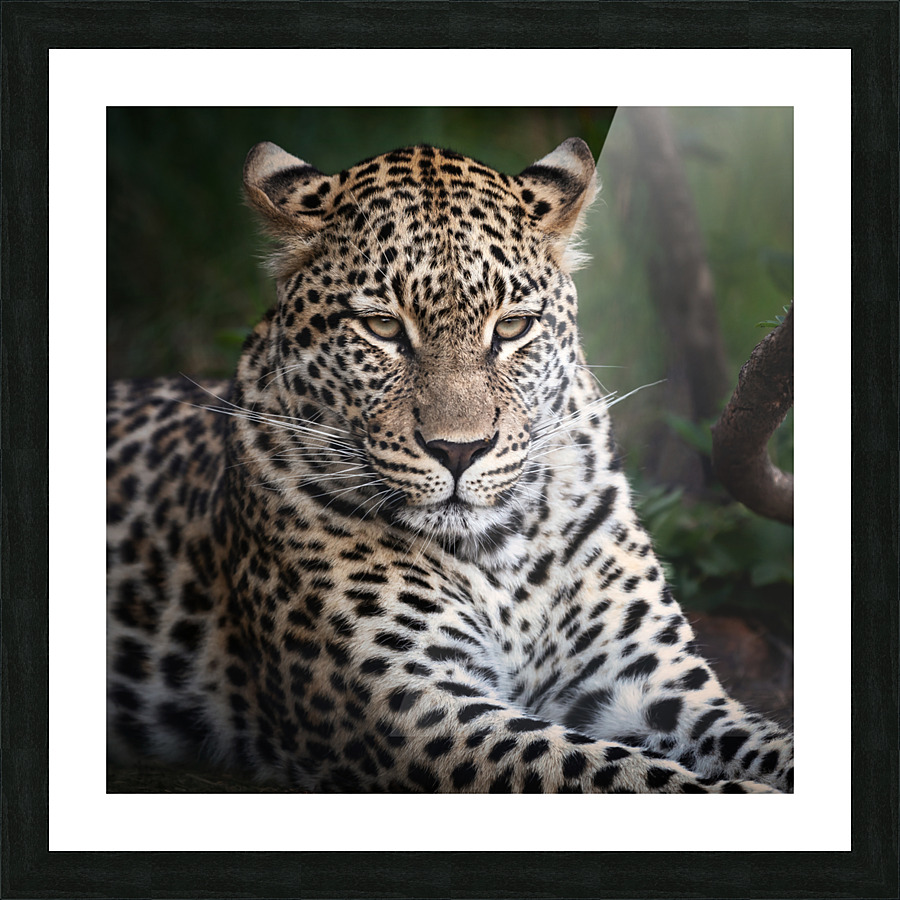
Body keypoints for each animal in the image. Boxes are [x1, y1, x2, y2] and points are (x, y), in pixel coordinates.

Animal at [107, 137, 793, 793]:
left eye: (512, 327)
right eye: (382, 328)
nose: (460, 450)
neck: (502, 556)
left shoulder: (653, 684)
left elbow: (761, 741)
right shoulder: (417, 706)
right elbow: (606, 769)